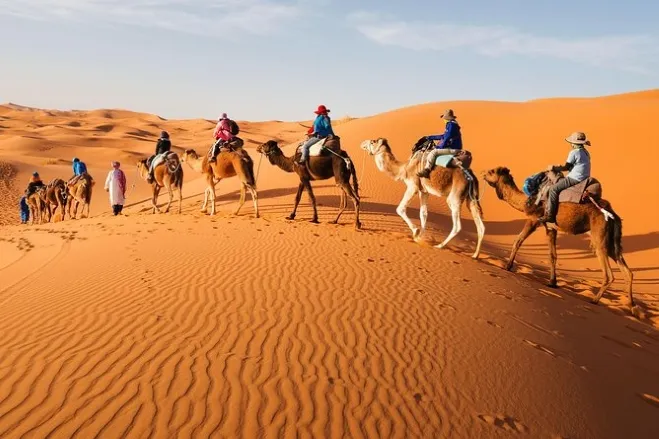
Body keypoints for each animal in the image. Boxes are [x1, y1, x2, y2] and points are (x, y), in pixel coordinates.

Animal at [484, 168, 636, 310]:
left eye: (492, 172)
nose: (483, 173)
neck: (526, 201)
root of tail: (613, 215)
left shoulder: (534, 219)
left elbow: (518, 241)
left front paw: (507, 266)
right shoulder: (551, 228)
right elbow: (552, 255)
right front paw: (552, 282)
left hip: (599, 235)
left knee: (608, 272)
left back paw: (595, 300)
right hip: (612, 240)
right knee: (626, 270)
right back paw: (631, 305)